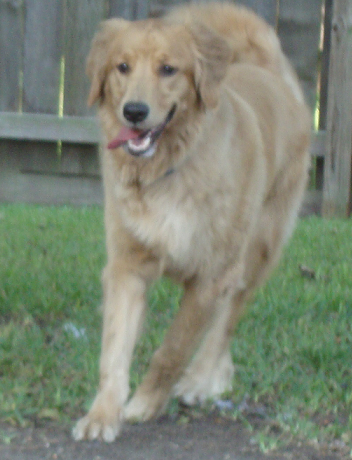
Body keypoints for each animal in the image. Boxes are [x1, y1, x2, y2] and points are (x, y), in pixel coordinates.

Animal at [73, 2, 310, 442]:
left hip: (257, 250)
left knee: (227, 320)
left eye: (168, 69)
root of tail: (267, 70)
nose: (134, 111)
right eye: (122, 66)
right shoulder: (127, 266)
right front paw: (103, 414)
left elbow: (174, 348)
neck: (168, 171)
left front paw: (145, 404)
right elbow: (113, 351)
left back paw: (202, 379)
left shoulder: (211, 276)